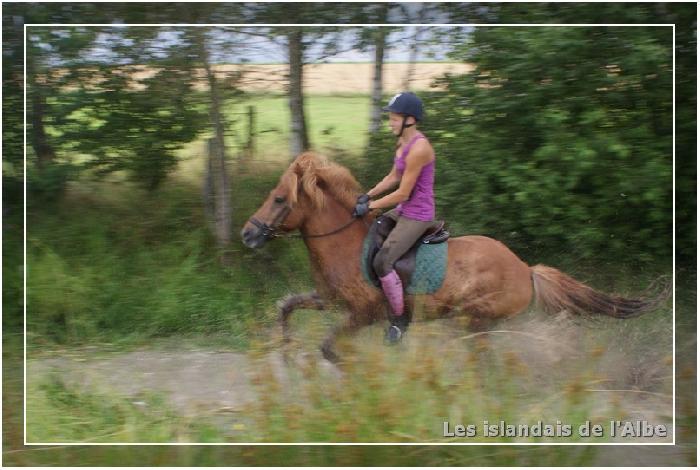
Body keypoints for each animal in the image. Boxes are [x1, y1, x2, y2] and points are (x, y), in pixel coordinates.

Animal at [242, 154, 668, 364]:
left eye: (279, 199)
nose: (248, 234)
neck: (345, 243)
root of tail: (525, 269)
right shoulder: (329, 299)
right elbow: (286, 307)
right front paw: (285, 353)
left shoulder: (365, 313)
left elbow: (331, 348)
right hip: (473, 323)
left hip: (473, 319)